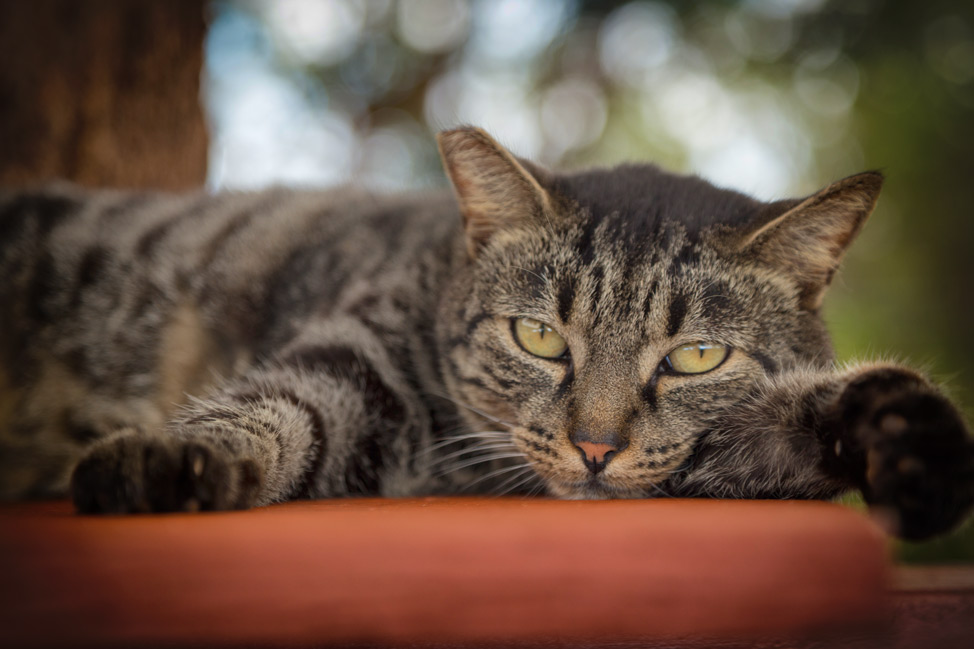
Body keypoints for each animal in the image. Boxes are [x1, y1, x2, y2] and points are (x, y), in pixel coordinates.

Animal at [1, 125, 974, 536]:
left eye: (697, 356)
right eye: (538, 338)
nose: (595, 449)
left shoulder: (706, 453)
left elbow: (784, 429)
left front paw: (906, 434)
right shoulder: (361, 356)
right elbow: (284, 405)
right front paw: (174, 457)